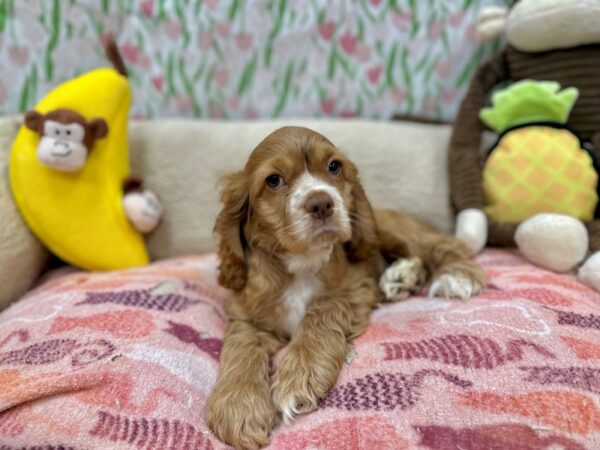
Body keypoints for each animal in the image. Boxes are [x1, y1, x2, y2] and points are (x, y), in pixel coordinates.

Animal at [209, 125, 486, 448]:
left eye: (334, 167)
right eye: (274, 180)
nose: (321, 203)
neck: (301, 262)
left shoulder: (355, 285)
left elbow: (321, 308)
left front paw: (301, 373)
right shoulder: (247, 314)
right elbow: (240, 347)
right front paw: (238, 406)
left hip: (391, 230)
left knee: (443, 246)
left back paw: (455, 276)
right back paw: (400, 279)